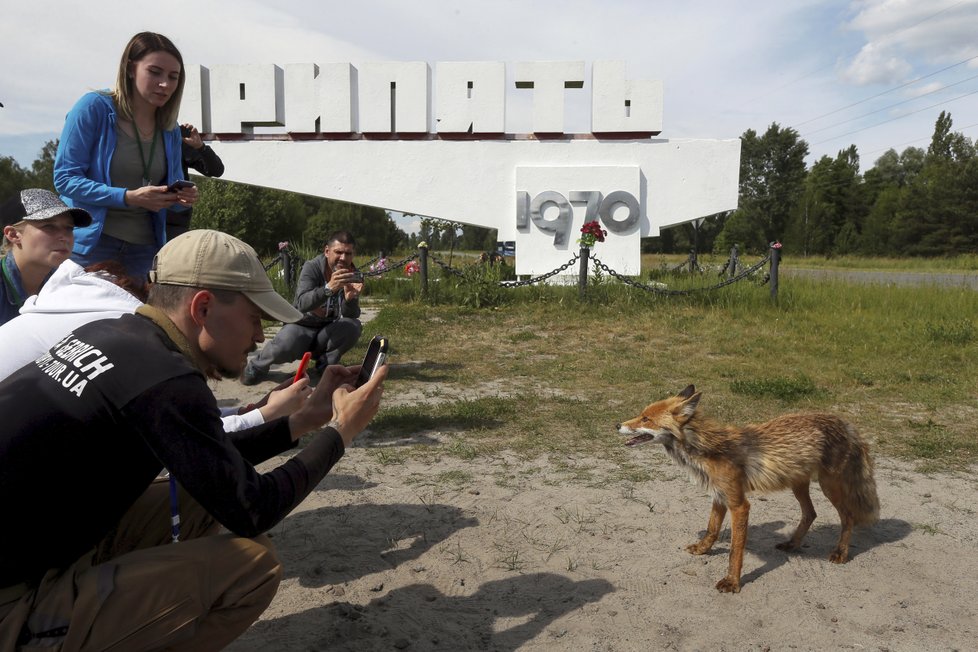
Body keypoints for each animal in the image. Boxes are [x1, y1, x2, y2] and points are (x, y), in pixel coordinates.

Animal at [616, 384, 876, 592]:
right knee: (811, 513)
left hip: (829, 485)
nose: (617, 424)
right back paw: (792, 544)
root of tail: (845, 422)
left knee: (848, 516)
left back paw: (840, 552)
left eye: (646, 419)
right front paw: (702, 549)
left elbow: (735, 550)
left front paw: (732, 582)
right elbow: (711, 529)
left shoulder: (739, 504)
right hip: (798, 484)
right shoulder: (720, 496)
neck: (708, 449)